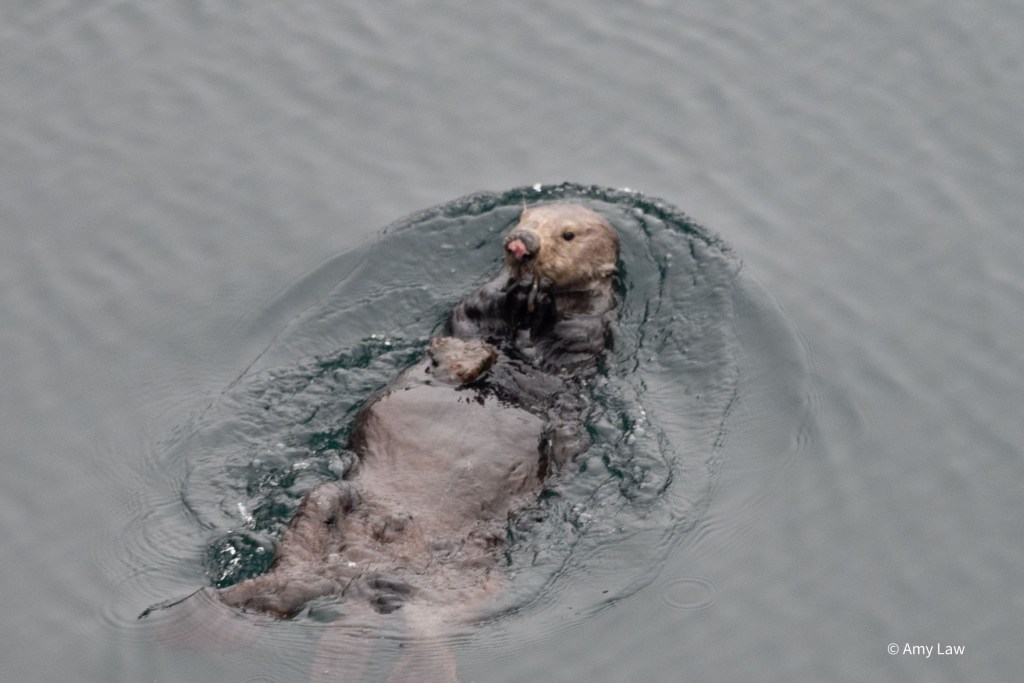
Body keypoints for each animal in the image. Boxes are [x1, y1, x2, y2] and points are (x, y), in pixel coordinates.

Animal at [217, 203, 619, 620]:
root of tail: (351, 569)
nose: (522, 243)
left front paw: (540, 298)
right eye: (526, 219)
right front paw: (514, 290)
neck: (521, 325)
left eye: (568, 234)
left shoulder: (588, 330)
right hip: (333, 497)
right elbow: (473, 312)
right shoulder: (474, 314)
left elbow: (566, 341)